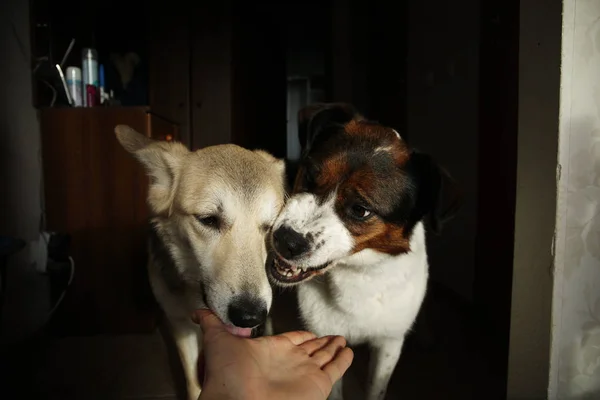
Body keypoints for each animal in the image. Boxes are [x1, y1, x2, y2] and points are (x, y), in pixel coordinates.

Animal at [266, 104, 454, 400]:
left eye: (360, 210)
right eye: (310, 175)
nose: (285, 239)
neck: (358, 273)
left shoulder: (388, 344)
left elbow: (377, 387)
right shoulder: (326, 337)